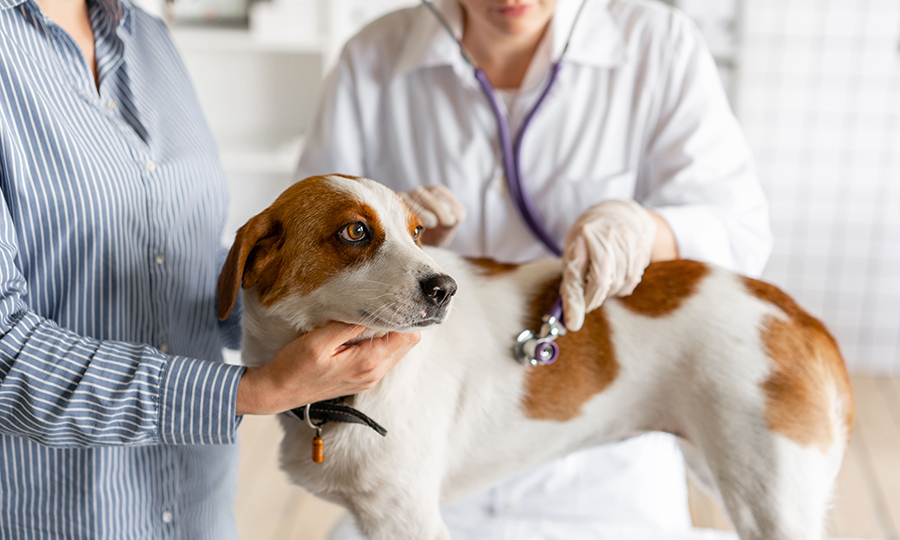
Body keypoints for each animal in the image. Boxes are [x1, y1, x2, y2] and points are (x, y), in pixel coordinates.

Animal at [216, 175, 852, 540]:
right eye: (354, 232)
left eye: (418, 232)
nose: (445, 288)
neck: (343, 400)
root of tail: (798, 314)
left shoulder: (407, 520)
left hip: (771, 502)